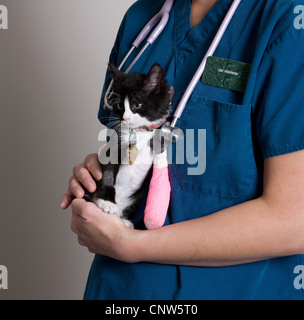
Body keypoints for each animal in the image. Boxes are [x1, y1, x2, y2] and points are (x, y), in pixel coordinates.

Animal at [84, 63, 172, 228]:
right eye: (119, 106)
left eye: (137, 104)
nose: (125, 118)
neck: (138, 132)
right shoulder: (113, 146)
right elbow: (107, 173)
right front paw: (107, 201)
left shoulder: (156, 137)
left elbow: (161, 153)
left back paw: (125, 221)